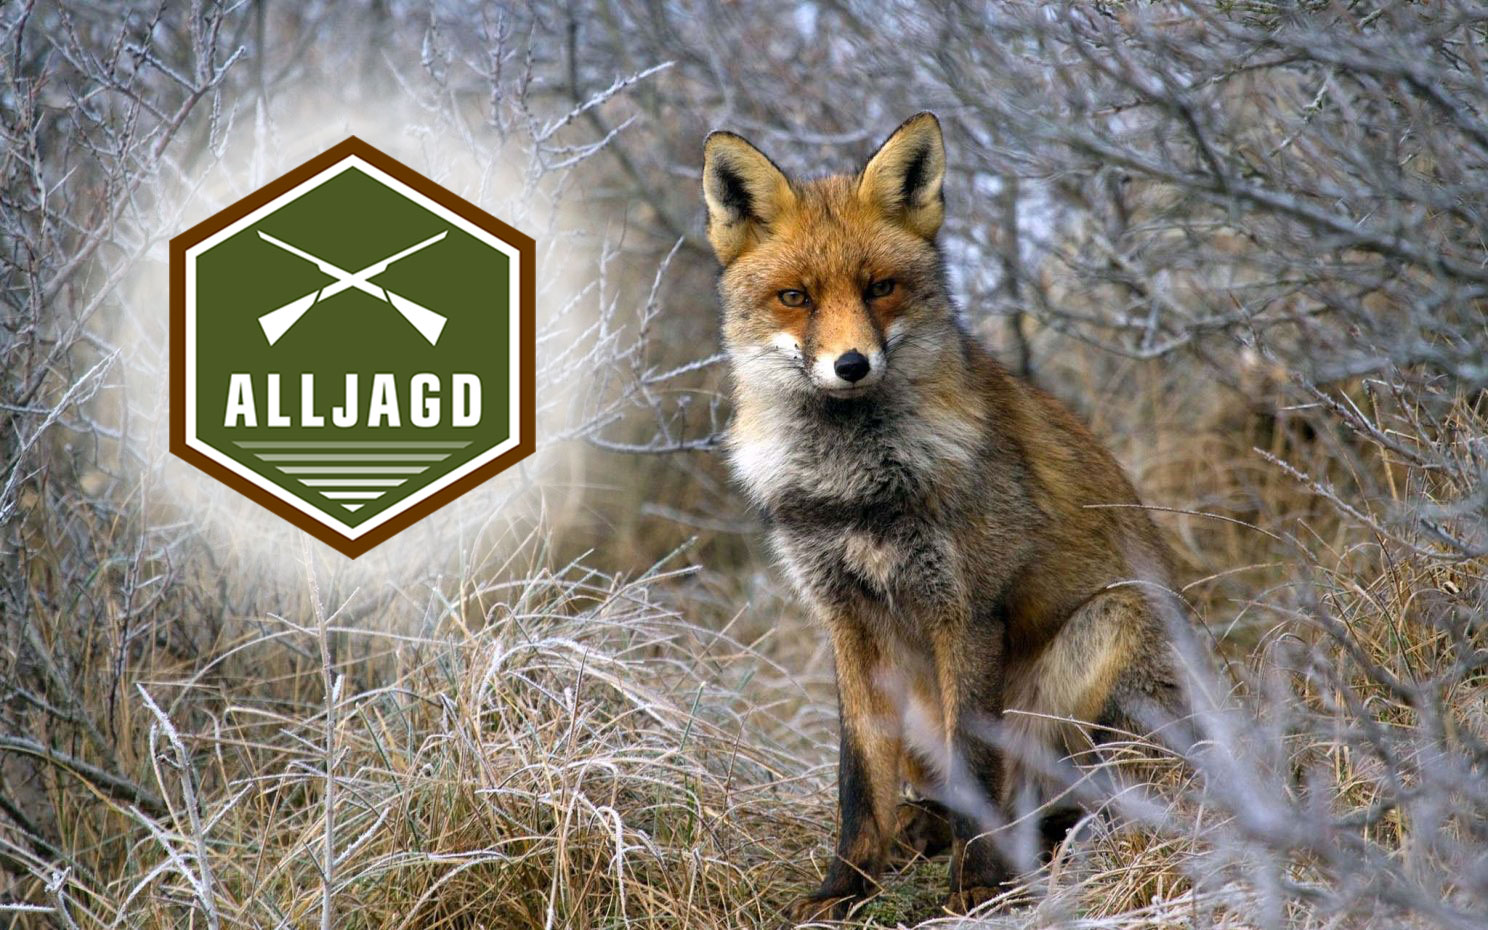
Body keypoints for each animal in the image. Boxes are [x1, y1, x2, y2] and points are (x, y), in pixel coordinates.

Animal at [701, 112, 1192, 921]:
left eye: (881, 288)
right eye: (795, 297)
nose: (851, 365)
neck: (856, 491)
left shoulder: (966, 610)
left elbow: (976, 759)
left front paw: (976, 887)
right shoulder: (846, 620)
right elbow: (858, 778)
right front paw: (845, 887)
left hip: (1107, 631)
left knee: (1065, 797)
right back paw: (921, 830)